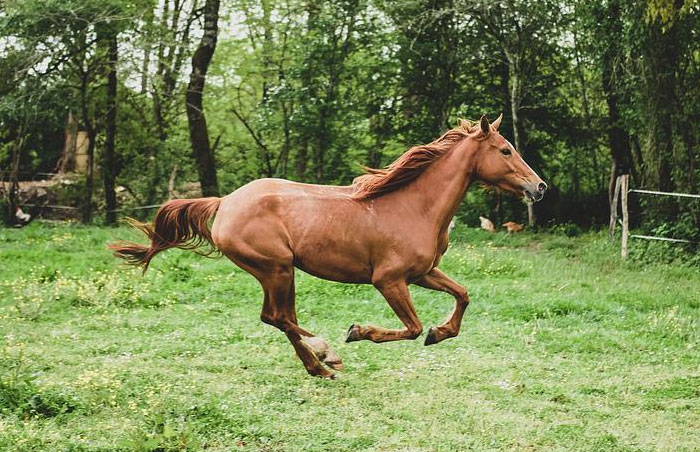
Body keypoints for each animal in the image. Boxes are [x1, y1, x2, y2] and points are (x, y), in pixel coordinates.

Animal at [109, 114, 548, 378]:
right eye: (506, 150)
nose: (540, 187)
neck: (414, 206)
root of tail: (225, 202)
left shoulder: (422, 273)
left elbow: (463, 295)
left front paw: (440, 333)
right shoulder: (389, 280)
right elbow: (410, 328)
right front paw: (360, 331)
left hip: (280, 273)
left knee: (279, 318)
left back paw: (318, 365)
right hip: (276, 269)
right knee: (278, 318)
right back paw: (326, 354)